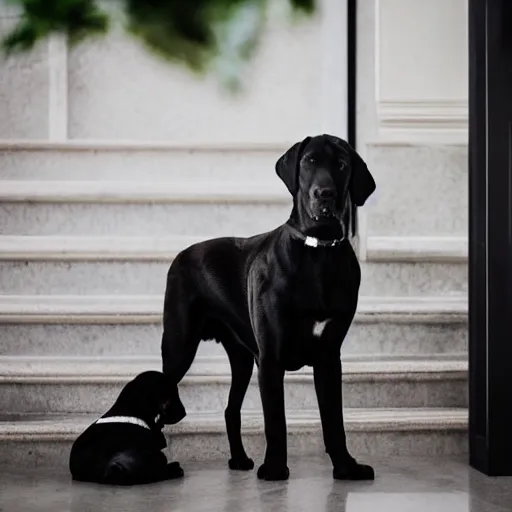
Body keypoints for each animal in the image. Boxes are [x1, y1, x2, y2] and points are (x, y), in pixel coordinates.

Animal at [160, 134, 376, 482]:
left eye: (342, 165)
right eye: (308, 162)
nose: (324, 194)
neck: (318, 251)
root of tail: (183, 253)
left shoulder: (329, 357)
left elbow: (334, 421)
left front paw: (346, 467)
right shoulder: (271, 358)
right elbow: (276, 421)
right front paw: (275, 468)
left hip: (242, 359)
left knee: (230, 410)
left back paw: (239, 459)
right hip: (178, 347)